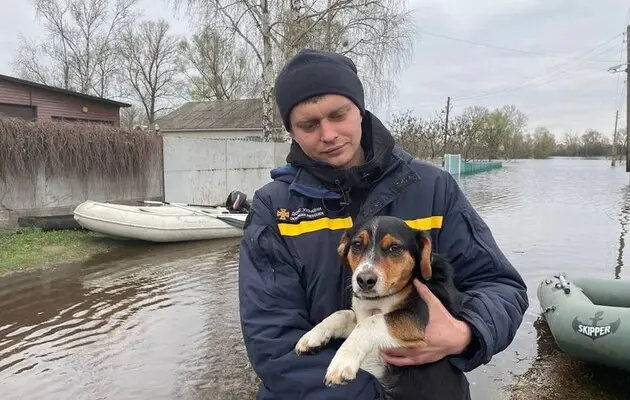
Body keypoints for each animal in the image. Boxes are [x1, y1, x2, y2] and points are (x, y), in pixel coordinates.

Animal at [296, 216, 470, 400]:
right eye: (357, 245)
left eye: (394, 248)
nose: (365, 280)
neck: (382, 298)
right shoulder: (360, 315)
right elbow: (342, 315)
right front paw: (312, 337)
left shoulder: (416, 315)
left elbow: (370, 323)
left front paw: (342, 362)